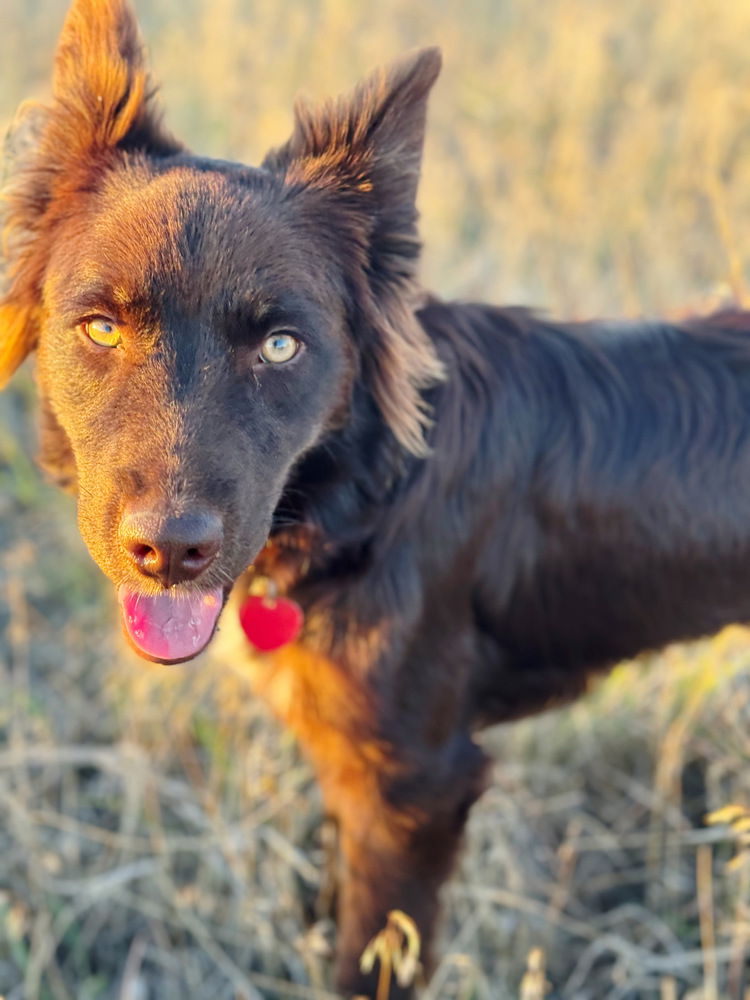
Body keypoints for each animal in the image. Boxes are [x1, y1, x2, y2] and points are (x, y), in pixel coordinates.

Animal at [4, 0, 750, 996]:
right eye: (99, 328)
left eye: (282, 346)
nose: (170, 552)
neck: (363, 498)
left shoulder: (417, 788)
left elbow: (370, 952)